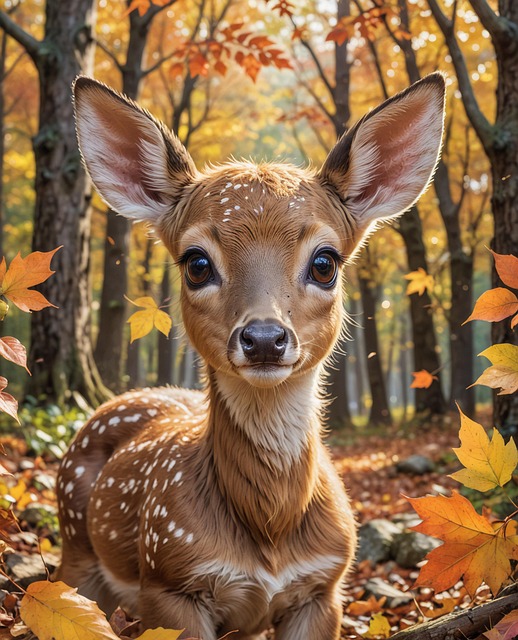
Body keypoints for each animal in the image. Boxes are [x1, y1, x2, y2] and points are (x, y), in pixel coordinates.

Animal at [56, 73, 445, 640]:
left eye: (325, 262)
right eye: (196, 263)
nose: (264, 337)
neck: (270, 530)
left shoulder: (324, 588)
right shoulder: (169, 579)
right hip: (74, 546)